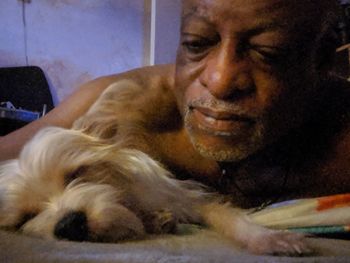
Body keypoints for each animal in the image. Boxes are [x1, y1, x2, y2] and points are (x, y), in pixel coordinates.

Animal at [0, 80, 308, 256]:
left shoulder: (185, 196)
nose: (69, 225)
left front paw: (268, 238)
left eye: (76, 173)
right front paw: (154, 221)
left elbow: (227, 215)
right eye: (26, 216)